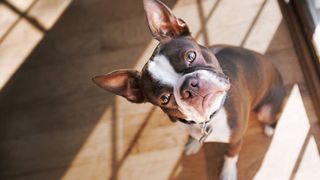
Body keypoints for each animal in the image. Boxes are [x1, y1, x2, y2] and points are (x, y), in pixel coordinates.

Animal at [92, 0, 284, 179]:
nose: (190, 85)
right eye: (164, 98)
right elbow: (196, 137)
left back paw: (269, 128)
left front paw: (228, 173)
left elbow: (231, 156)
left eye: (191, 55)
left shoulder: (235, 140)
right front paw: (194, 143)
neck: (208, 119)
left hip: (265, 112)